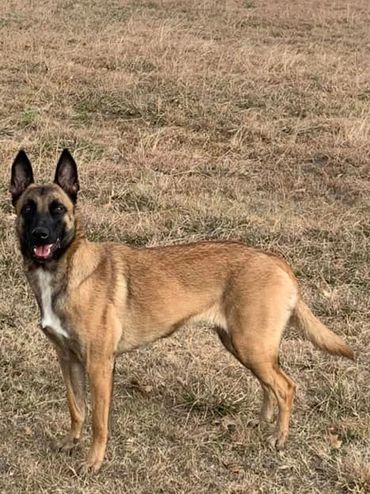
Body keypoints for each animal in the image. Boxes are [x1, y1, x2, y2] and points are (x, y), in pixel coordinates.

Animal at [10, 149, 354, 472]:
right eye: (28, 209)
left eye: (58, 209)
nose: (40, 236)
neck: (65, 272)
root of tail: (276, 260)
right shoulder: (67, 359)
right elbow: (76, 408)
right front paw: (71, 442)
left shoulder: (99, 365)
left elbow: (98, 421)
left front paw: (93, 461)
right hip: (243, 345)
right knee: (270, 384)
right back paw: (262, 423)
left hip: (251, 346)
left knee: (286, 387)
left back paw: (279, 437)